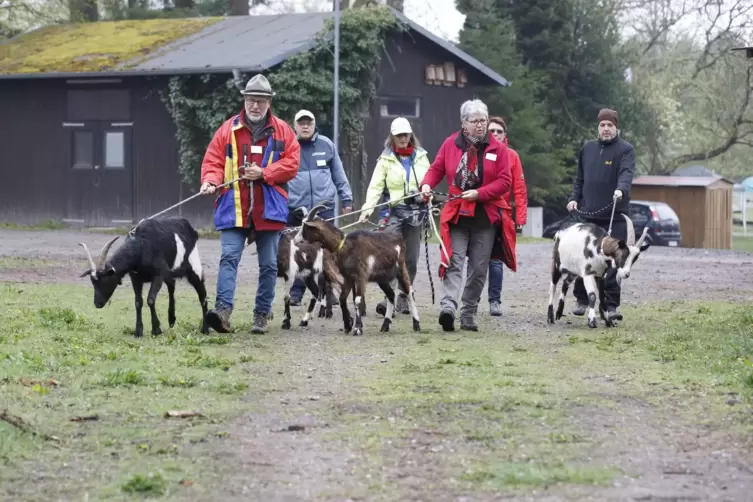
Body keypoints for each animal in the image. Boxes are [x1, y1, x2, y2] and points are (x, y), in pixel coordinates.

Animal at [78, 217, 209, 338]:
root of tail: (188, 226)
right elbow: (138, 302)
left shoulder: (158, 276)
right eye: (93, 283)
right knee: (172, 287)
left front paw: (156, 329)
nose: (97, 304)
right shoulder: (135, 279)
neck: (141, 245)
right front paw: (138, 331)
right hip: (169, 273)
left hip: (194, 267)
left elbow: (150, 300)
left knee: (202, 294)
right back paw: (171, 319)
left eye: (105, 281)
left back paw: (205, 329)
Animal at [292, 202, 420, 336]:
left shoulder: (361, 276)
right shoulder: (349, 277)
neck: (345, 245)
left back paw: (416, 324)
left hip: (401, 269)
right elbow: (343, 298)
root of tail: (399, 238)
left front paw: (357, 328)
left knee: (409, 292)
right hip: (382, 278)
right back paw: (385, 325)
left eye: (305, 227)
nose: (295, 240)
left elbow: (357, 299)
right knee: (391, 295)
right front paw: (348, 325)